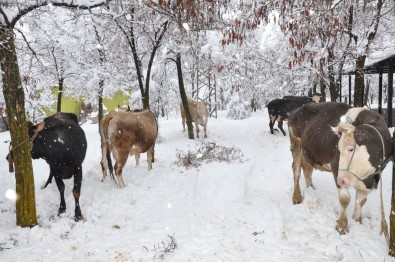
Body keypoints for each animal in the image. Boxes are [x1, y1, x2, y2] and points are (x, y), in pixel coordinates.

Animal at [288, 102, 392, 233]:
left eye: (350, 149)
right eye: (338, 149)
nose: (341, 180)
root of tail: (299, 109)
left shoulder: (370, 179)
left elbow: (361, 200)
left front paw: (357, 221)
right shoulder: (335, 166)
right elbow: (345, 198)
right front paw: (342, 226)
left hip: (307, 151)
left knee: (307, 168)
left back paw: (311, 189)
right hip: (295, 143)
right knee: (296, 170)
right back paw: (297, 197)